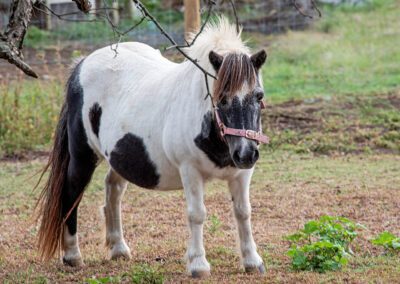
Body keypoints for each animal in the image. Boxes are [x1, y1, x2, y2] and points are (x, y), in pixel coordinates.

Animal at [37, 17, 268, 278]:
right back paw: (72, 255)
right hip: (82, 157)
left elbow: (243, 212)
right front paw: (198, 264)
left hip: (120, 157)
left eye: (259, 96)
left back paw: (118, 249)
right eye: (222, 98)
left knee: (113, 190)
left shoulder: (242, 173)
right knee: (71, 194)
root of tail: (82, 64)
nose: (246, 153)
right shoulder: (190, 171)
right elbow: (197, 214)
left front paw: (252, 261)